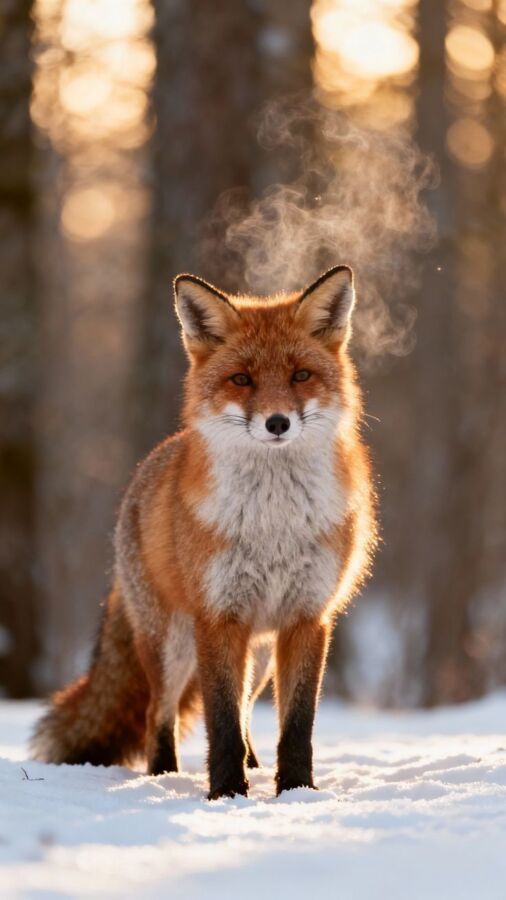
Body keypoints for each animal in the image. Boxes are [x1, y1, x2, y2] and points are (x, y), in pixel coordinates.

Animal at [32, 264, 377, 799]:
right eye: (242, 379)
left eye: (300, 375)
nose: (278, 423)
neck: (273, 524)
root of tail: (142, 473)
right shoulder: (218, 616)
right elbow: (219, 721)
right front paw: (227, 793)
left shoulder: (308, 617)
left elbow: (296, 725)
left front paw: (296, 791)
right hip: (172, 645)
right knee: (159, 713)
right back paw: (163, 775)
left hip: (259, 654)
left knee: (246, 711)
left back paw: (255, 764)